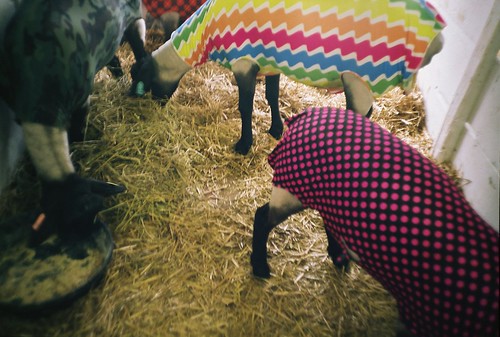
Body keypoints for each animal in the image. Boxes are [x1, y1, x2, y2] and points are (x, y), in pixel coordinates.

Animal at [0, 0, 145, 242]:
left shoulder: (81, 98)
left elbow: (77, 129)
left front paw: (78, 145)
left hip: (135, 17)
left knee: (139, 43)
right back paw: (117, 71)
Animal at [129, 0, 446, 154]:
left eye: (142, 79)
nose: (155, 105)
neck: (202, 38)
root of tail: (437, 38)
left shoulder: (244, 63)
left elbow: (245, 107)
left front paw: (244, 145)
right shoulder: (270, 62)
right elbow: (272, 95)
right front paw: (277, 129)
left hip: (359, 79)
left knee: (361, 114)